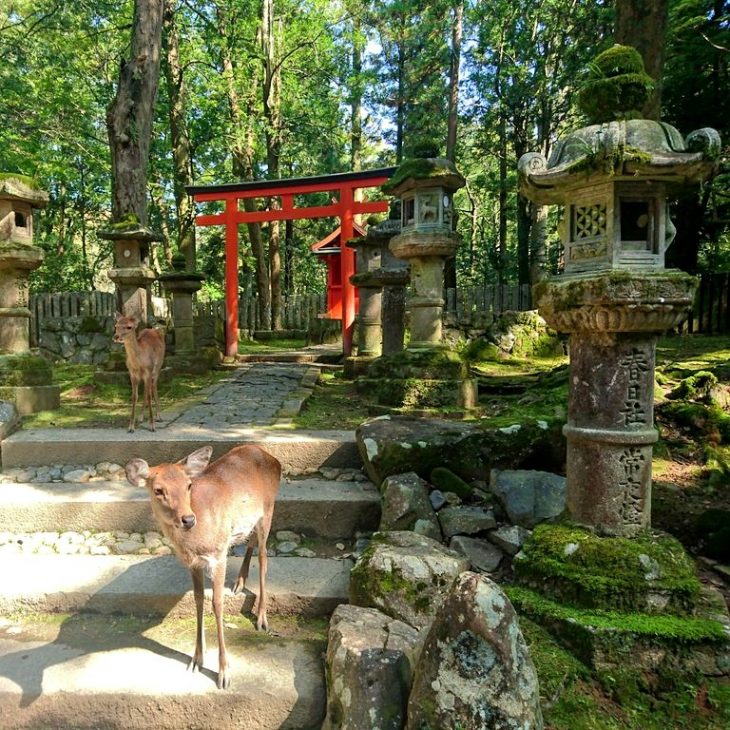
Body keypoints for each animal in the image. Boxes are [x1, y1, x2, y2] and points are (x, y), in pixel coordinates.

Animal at [123, 440, 280, 684]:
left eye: (188, 485)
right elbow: (198, 600)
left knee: (264, 555)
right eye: (158, 490)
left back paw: (262, 619)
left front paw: (224, 672)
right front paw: (197, 659)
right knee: (251, 540)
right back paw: (239, 582)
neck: (194, 543)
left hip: (268, 510)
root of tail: (273, 459)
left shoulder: (219, 553)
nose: (188, 519)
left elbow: (217, 603)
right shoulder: (193, 563)